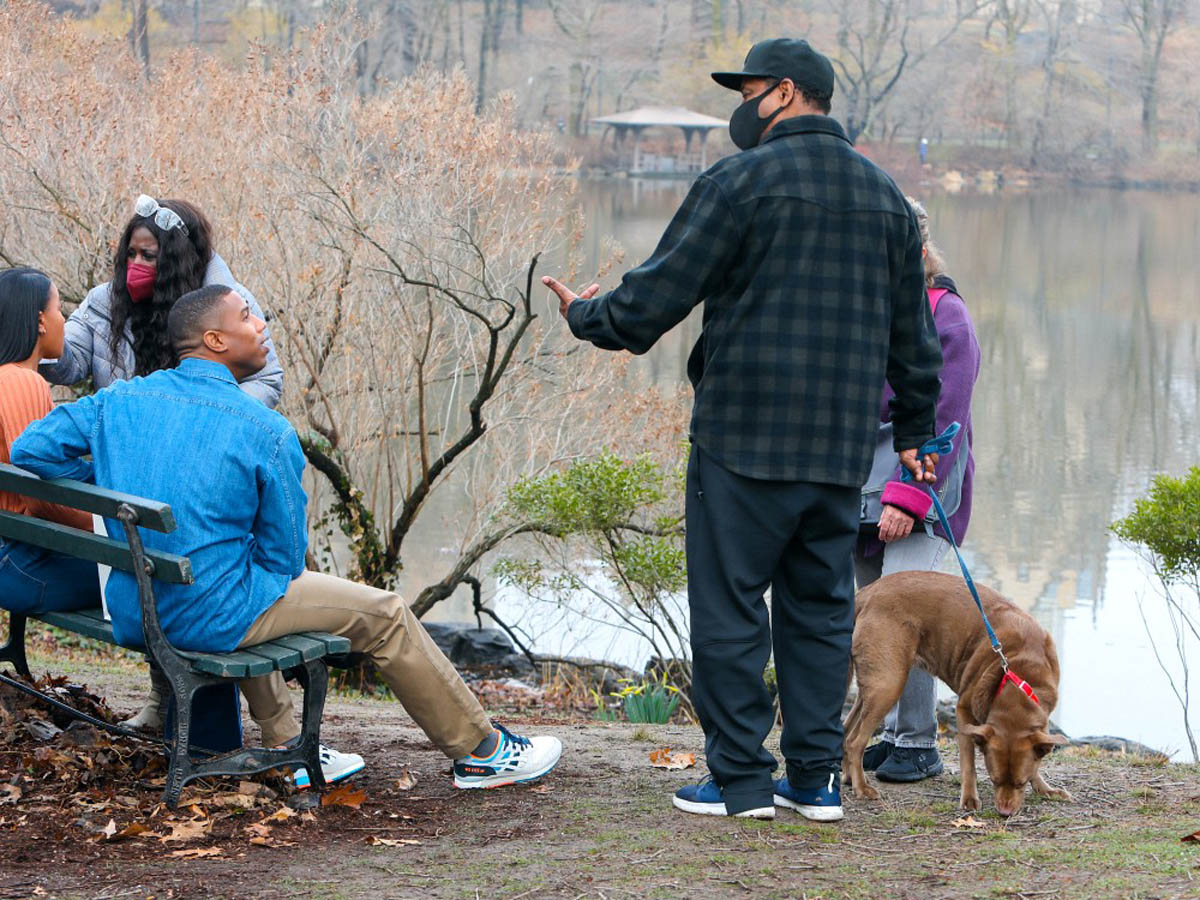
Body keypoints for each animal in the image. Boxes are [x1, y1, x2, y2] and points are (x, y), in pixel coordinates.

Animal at [842, 570, 1071, 816]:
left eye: (1021, 782)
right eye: (994, 779)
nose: (1004, 812)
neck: (1020, 675)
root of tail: (866, 593)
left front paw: (1045, 788)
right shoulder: (963, 711)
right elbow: (968, 763)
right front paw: (970, 798)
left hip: (873, 685)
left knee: (846, 731)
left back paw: (848, 777)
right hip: (888, 683)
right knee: (855, 741)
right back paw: (861, 787)